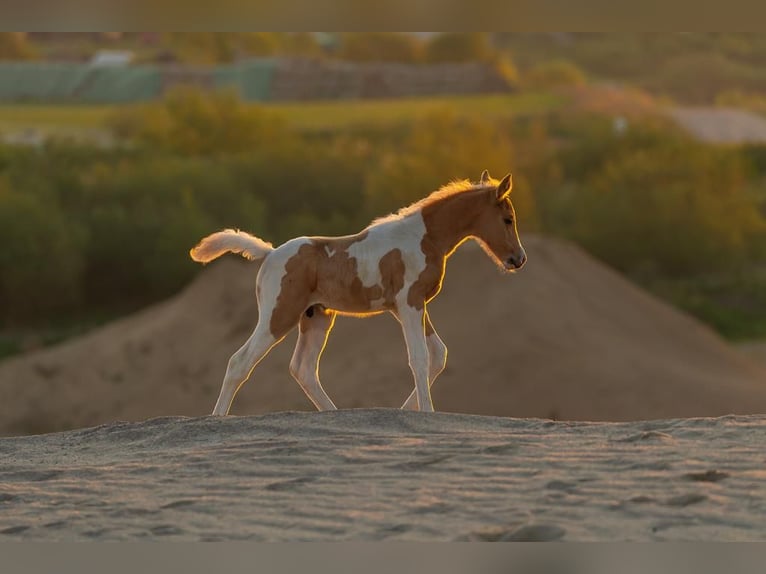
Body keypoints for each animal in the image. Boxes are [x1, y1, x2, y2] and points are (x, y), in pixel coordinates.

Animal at [192, 169, 528, 416]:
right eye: (508, 219)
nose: (519, 259)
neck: (425, 238)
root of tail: (270, 253)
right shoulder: (409, 304)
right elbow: (419, 357)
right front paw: (427, 411)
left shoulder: (412, 307)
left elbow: (438, 355)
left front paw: (407, 409)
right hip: (278, 316)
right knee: (239, 362)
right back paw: (218, 417)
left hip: (316, 318)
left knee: (303, 370)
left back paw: (332, 412)